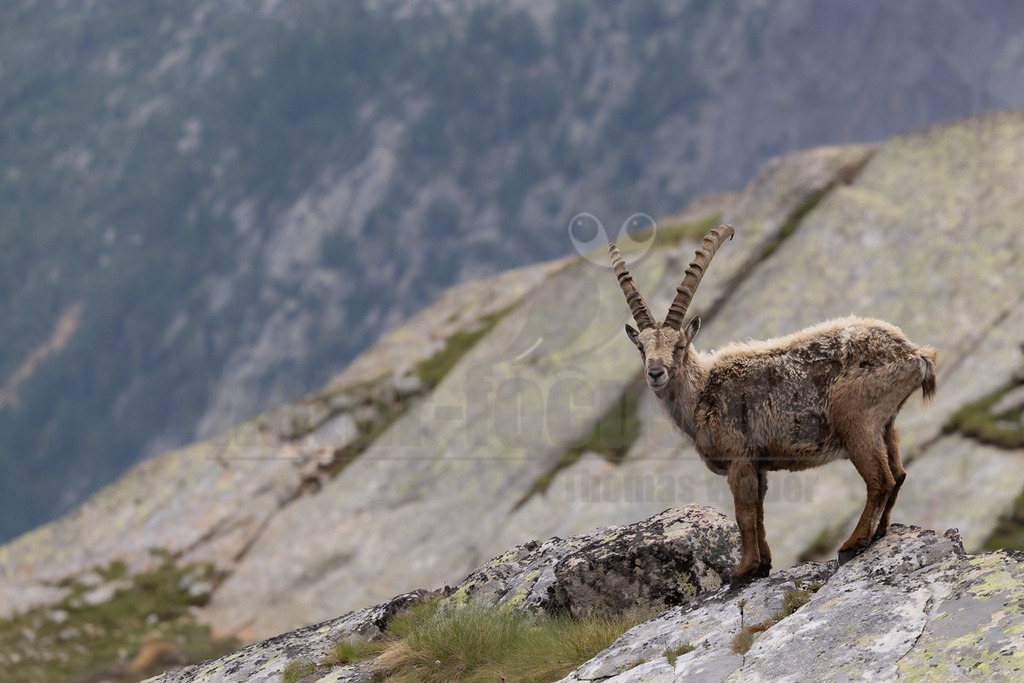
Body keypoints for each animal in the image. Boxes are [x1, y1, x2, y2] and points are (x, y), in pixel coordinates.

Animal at [609, 224, 936, 585]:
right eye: (641, 347)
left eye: (679, 345)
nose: (656, 373)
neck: (702, 391)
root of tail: (914, 354)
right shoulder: (759, 463)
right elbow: (760, 514)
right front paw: (763, 564)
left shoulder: (739, 458)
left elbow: (744, 513)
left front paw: (742, 570)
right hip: (887, 424)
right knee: (899, 474)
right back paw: (879, 533)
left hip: (856, 420)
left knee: (880, 479)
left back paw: (852, 543)